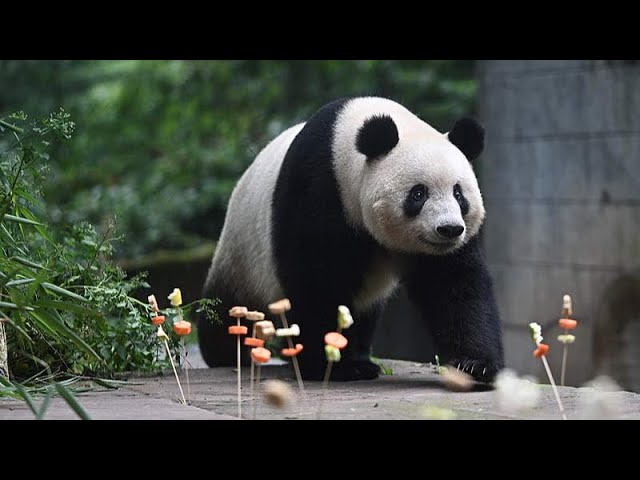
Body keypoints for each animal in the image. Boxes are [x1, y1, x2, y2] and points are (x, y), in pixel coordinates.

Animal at [200, 96, 504, 382]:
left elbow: (455, 286)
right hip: (242, 254)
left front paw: (475, 365)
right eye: (418, 193)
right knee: (228, 307)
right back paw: (225, 351)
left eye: (458, 194)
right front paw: (327, 365)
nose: (449, 229)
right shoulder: (317, 187)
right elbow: (316, 278)